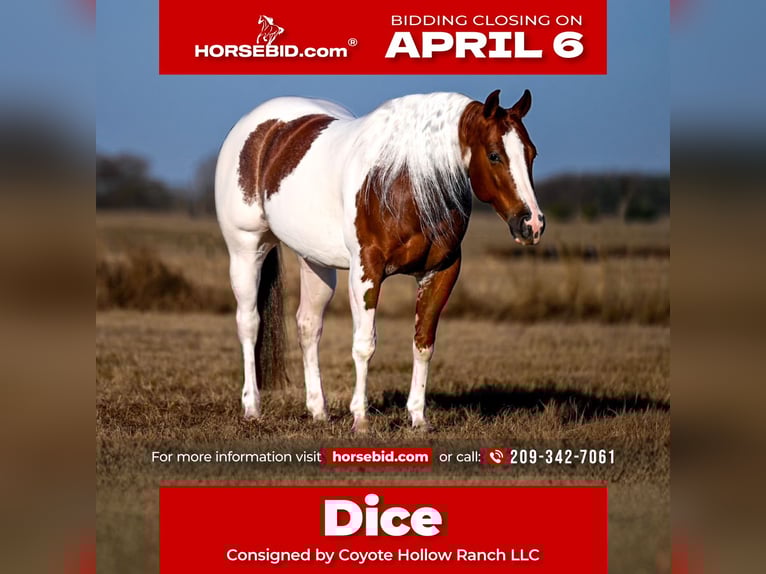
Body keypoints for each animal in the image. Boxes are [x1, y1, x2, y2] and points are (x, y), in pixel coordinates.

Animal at [215, 90, 545, 432]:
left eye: (532, 154)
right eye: (494, 155)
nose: (532, 224)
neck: (404, 181)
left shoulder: (441, 272)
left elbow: (423, 343)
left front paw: (418, 417)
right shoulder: (366, 271)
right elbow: (365, 345)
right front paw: (360, 418)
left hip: (315, 261)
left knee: (308, 325)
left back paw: (318, 409)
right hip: (246, 249)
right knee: (249, 323)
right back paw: (252, 407)